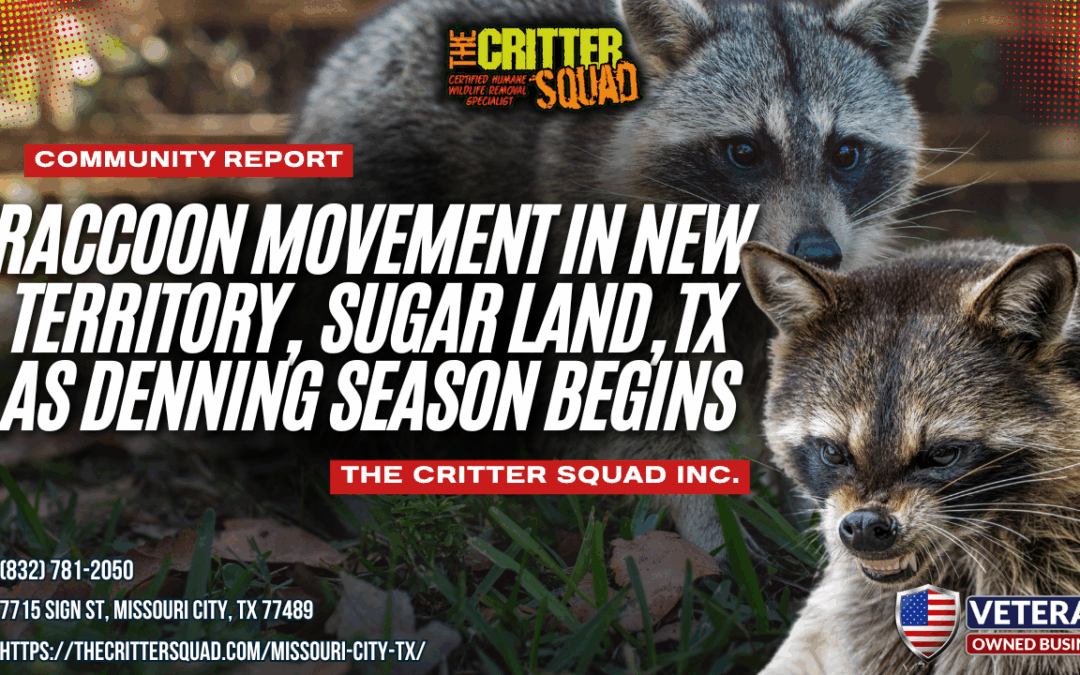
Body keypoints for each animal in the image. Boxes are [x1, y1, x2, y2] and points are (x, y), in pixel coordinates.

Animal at [288, 0, 938, 555]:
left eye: (845, 153)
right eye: (745, 152)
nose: (820, 253)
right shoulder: (602, 265)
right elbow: (640, 412)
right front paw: (709, 531)